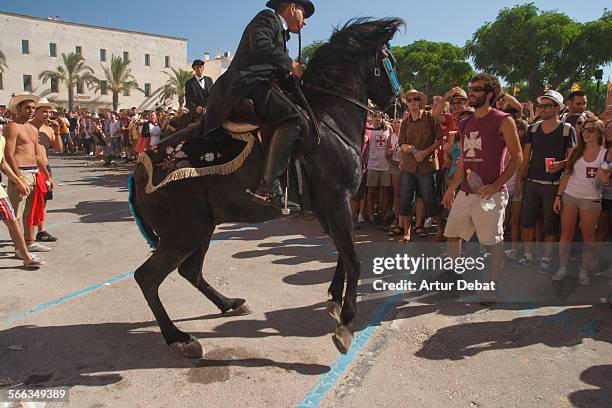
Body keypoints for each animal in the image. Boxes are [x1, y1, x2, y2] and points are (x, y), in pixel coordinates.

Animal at [130, 18, 406, 356]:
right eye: (391, 63)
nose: (401, 105)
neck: (330, 121)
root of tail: (140, 168)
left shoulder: (332, 208)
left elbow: (344, 253)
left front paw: (334, 301)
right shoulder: (337, 201)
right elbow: (353, 259)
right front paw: (345, 325)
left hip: (201, 228)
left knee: (189, 271)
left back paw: (229, 304)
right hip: (183, 233)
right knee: (147, 278)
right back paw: (178, 337)